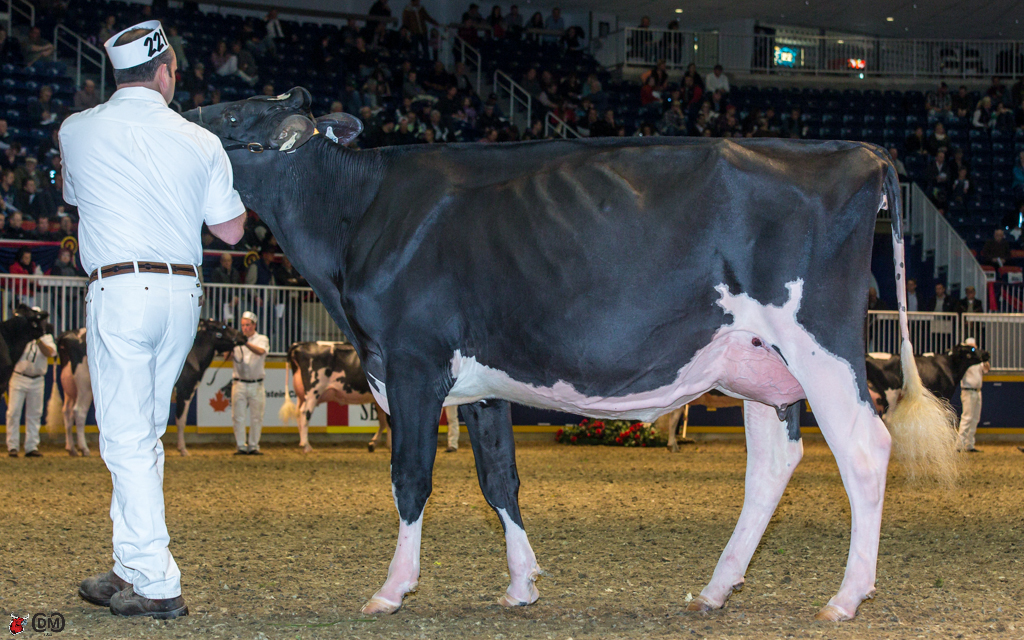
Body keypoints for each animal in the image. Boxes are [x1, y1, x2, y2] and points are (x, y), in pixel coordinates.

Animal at [187, 88, 959, 622]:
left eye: (231, 117)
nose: (176, 108)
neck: (359, 216)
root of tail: (860, 153)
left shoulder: (410, 364)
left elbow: (411, 479)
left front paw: (391, 589)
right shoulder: (480, 384)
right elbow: (500, 481)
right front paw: (521, 584)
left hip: (821, 345)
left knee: (865, 450)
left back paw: (846, 597)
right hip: (762, 365)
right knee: (773, 466)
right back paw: (715, 589)